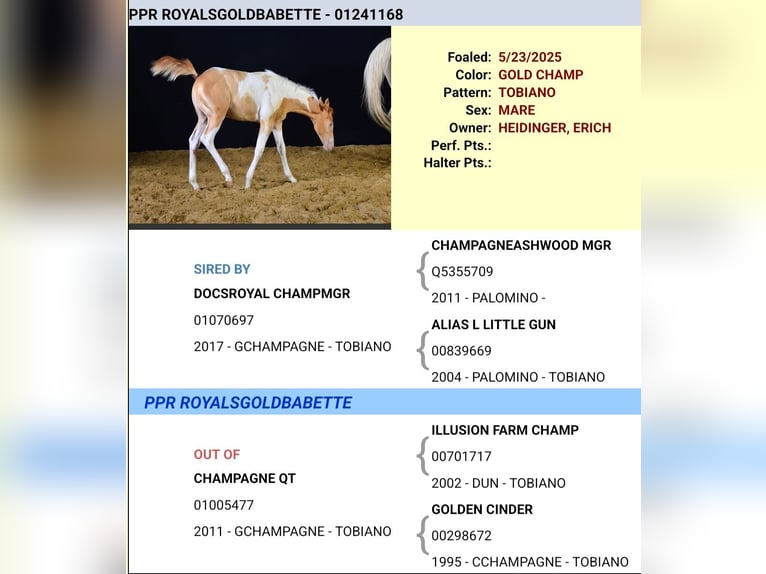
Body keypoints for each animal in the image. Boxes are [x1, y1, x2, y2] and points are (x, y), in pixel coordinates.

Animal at [150, 56, 334, 190]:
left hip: (203, 118)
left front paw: (292, 178)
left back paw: (195, 184)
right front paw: (247, 182)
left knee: (193, 141)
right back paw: (228, 177)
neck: (279, 92)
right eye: (331, 123)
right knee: (207, 139)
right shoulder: (266, 123)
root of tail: (199, 76)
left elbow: (282, 149)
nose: (330, 147)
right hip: (216, 117)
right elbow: (259, 150)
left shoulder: (276, 124)